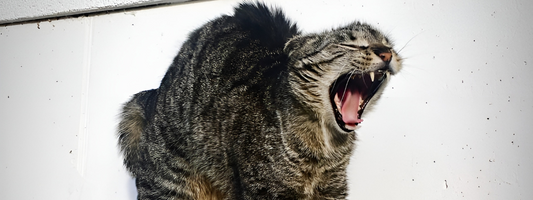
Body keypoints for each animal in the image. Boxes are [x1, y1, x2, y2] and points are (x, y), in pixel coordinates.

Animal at [118, 2, 402, 199]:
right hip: (171, 184)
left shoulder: (333, 188)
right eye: (350, 45)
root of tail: (155, 97)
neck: (324, 148)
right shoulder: (266, 189)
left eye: (389, 44)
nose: (386, 53)